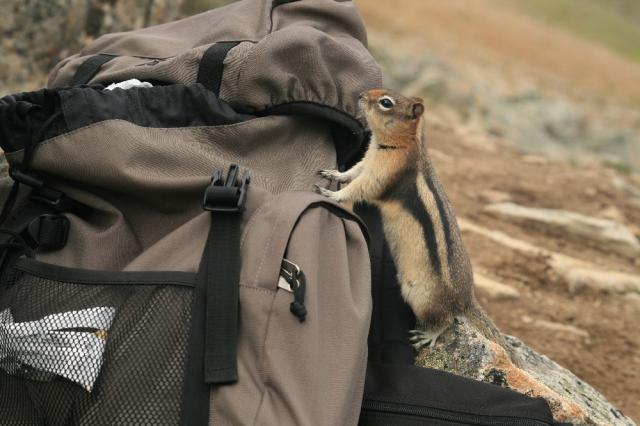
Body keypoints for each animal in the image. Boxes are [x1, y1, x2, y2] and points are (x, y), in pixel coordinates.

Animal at [316, 89, 501, 349]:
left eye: (386, 102)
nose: (361, 95)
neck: (396, 144)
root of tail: (465, 299)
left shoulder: (382, 174)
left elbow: (359, 188)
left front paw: (332, 194)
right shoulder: (368, 161)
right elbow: (353, 172)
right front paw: (335, 174)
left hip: (421, 297)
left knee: (445, 320)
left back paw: (428, 335)